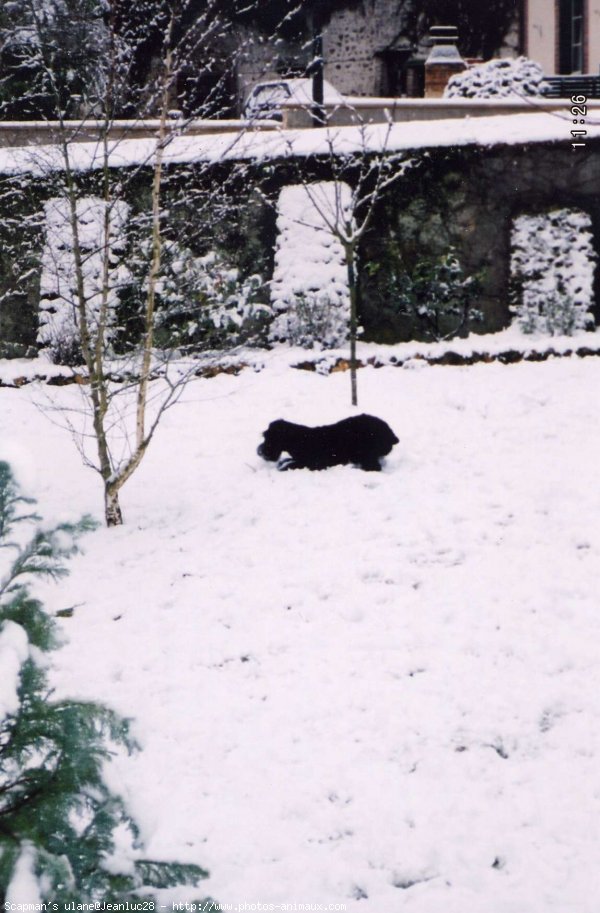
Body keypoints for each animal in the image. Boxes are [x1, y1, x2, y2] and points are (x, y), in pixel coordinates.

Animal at [256, 414, 398, 470]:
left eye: (268, 437)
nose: (260, 452)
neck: (299, 439)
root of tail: (391, 434)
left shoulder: (314, 464)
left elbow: (288, 465)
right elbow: (285, 461)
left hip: (366, 456)